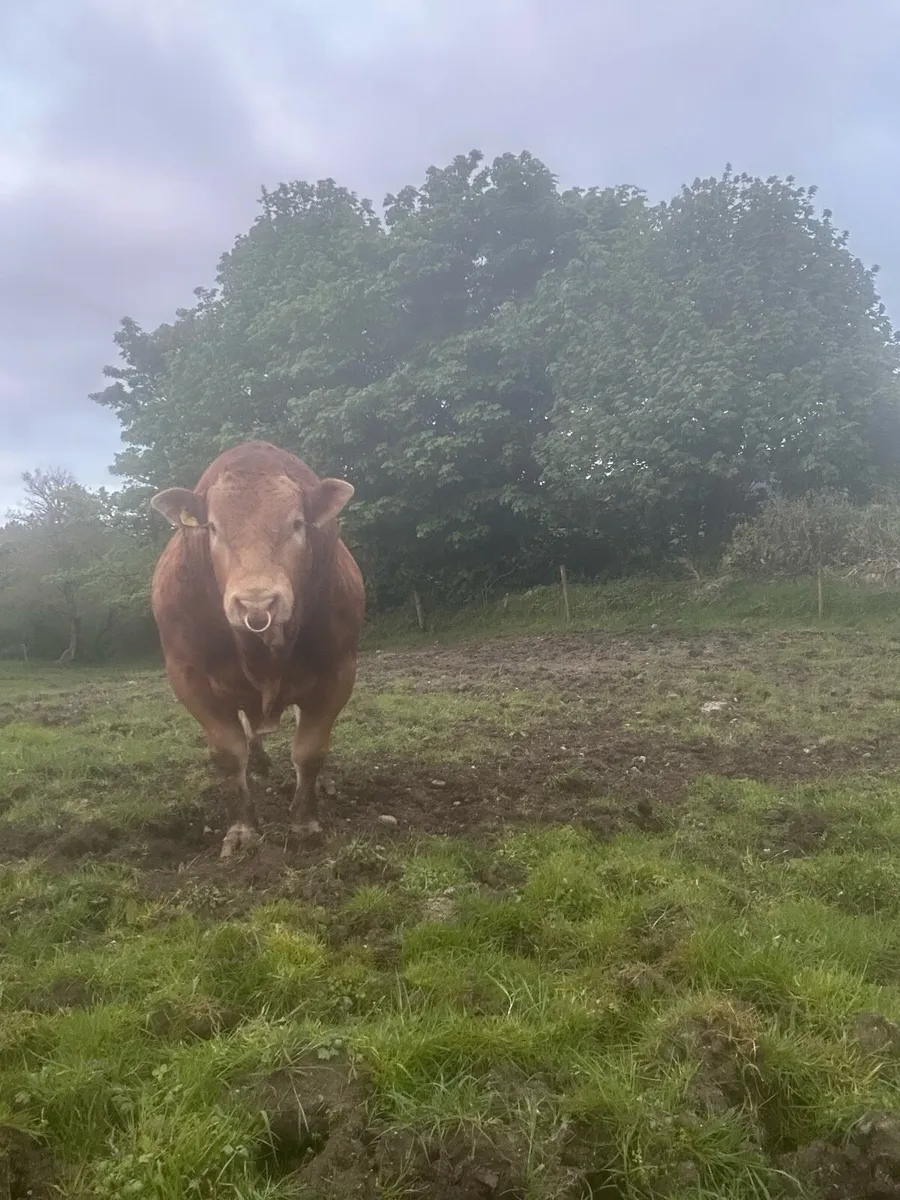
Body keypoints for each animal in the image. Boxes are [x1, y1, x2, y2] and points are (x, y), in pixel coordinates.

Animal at [149, 441, 365, 859]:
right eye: (213, 527)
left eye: (297, 524)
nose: (257, 603)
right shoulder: (188, 676)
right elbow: (228, 754)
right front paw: (243, 828)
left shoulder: (338, 670)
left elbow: (309, 751)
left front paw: (304, 823)